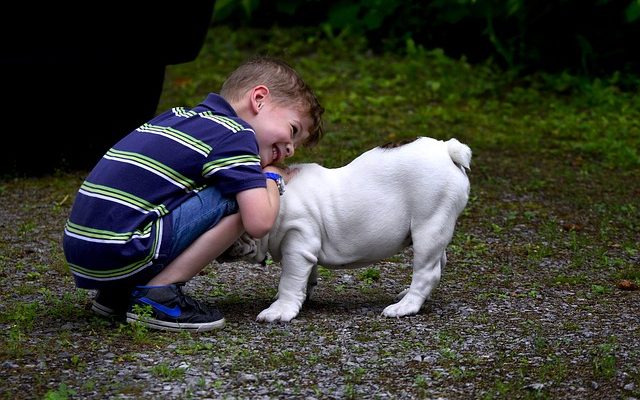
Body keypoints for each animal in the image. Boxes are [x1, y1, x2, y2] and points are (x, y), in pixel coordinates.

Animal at [225, 137, 470, 322]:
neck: (275, 197)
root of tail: (446, 149)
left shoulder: (297, 243)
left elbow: (290, 279)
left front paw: (280, 309)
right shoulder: (305, 249)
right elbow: (306, 275)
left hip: (429, 224)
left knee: (426, 271)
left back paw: (405, 306)